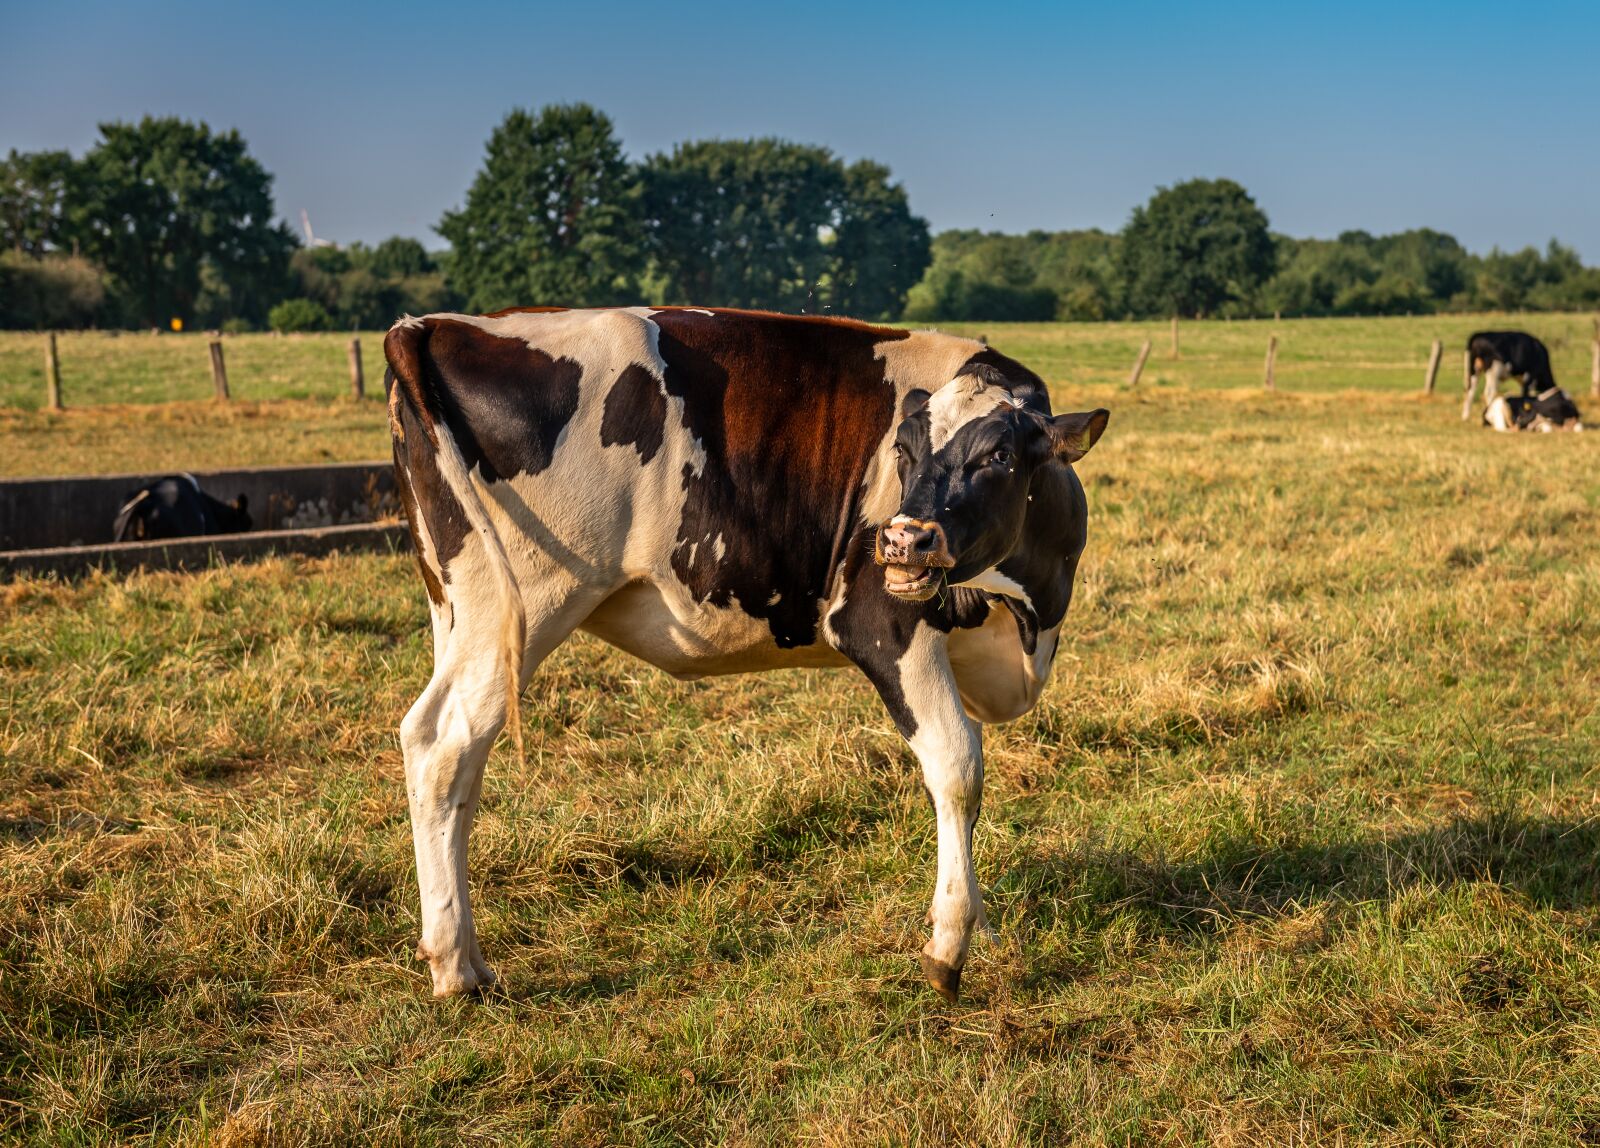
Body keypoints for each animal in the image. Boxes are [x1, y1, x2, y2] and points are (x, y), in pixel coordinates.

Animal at [384, 306, 1110, 1003]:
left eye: (1000, 456)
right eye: (901, 450)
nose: (904, 540)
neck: (1024, 614)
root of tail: (433, 326)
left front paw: (976, 922)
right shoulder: (880, 624)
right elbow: (959, 768)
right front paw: (948, 945)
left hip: (462, 607)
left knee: (452, 759)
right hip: (525, 603)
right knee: (445, 744)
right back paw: (456, 967)